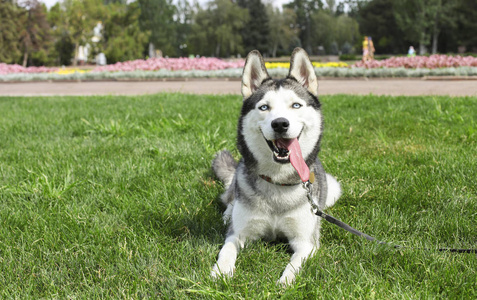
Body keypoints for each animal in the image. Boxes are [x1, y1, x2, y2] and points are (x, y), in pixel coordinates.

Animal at [210, 48, 340, 284]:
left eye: (296, 105)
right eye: (264, 107)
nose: (280, 123)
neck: (278, 183)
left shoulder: (306, 243)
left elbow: (294, 266)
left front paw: (283, 283)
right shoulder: (238, 234)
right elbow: (227, 249)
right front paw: (220, 272)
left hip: (334, 189)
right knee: (230, 198)